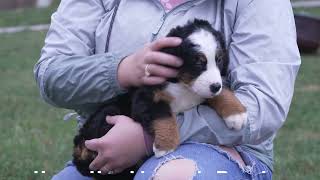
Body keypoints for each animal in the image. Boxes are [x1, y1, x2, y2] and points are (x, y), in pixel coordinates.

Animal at [72, 19, 248, 179]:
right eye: (198, 62)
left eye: (219, 59)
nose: (215, 86)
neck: (183, 85)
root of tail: (78, 150)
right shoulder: (147, 99)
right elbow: (164, 117)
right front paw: (166, 146)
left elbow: (223, 93)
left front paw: (236, 114)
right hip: (108, 114)